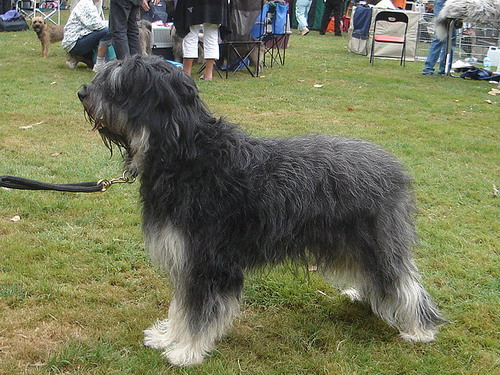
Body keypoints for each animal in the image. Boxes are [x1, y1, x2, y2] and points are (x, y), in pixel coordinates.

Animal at [79, 55, 446, 368]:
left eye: (118, 85)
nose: (82, 92)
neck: (186, 157)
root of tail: (393, 167)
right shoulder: (185, 258)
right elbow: (181, 308)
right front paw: (168, 337)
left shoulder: (207, 261)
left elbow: (198, 313)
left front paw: (186, 352)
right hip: (351, 244)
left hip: (375, 242)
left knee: (403, 283)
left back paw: (421, 329)